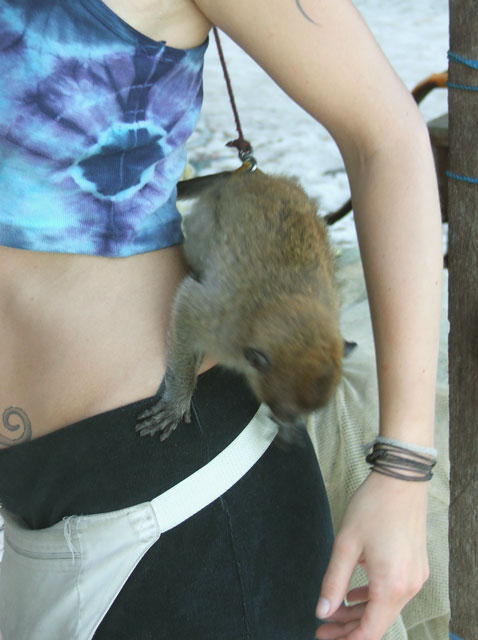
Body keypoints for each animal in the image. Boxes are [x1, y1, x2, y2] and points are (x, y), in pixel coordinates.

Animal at [136, 169, 346, 443]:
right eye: (280, 410)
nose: (288, 428)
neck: (285, 302)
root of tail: (250, 176)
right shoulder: (219, 324)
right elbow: (186, 304)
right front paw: (179, 397)